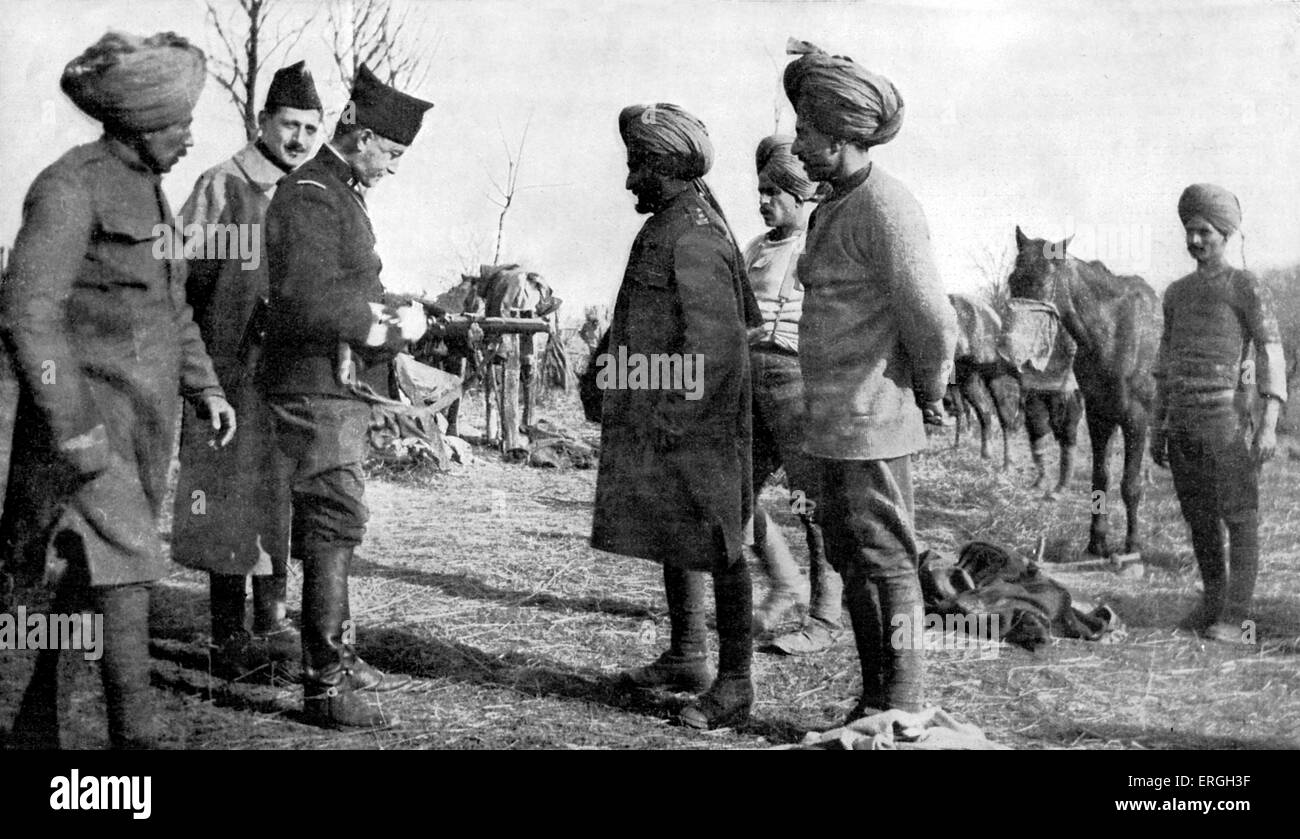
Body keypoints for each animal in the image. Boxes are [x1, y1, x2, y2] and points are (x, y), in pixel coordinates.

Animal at [1003, 227, 1159, 556]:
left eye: (1045, 280)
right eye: (1013, 279)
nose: (1012, 351)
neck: (1113, 332)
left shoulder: (1135, 417)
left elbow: (1130, 485)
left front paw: (1132, 545)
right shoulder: (1099, 415)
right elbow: (1100, 477)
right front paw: (1096, 541)